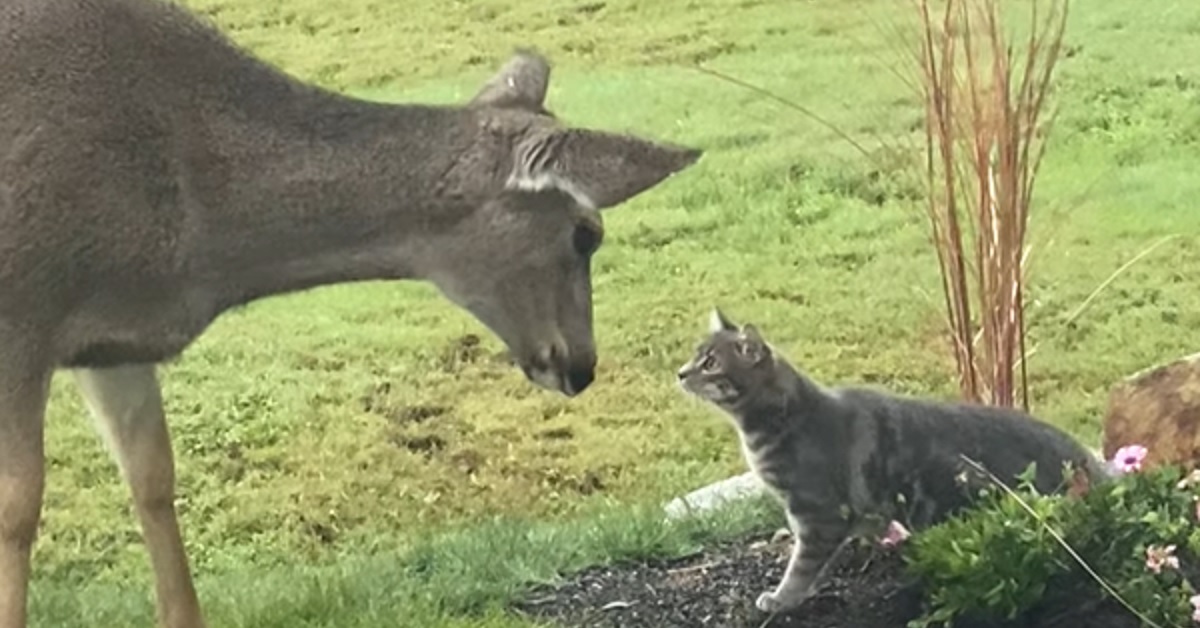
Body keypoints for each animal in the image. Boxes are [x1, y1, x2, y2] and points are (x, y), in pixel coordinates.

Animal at [0, 0, 700, 624]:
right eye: (587, 233)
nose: (581, 363)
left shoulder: (112, 339)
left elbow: (151, 478)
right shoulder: (22, 316)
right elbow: (19, 504)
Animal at [676, 309, 1104, 614]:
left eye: (710, 363)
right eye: (695, 356)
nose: (680, 373)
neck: (784, 418)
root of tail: (1088, 460)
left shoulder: (817, 514)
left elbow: (801, 567)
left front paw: (782, 599)